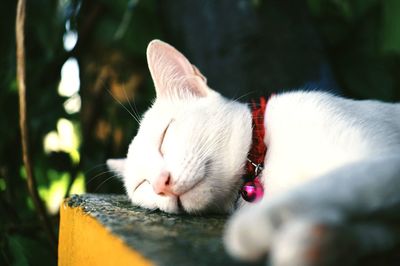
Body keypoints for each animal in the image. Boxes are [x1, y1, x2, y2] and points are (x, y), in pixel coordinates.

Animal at [107, 40, 400, 266]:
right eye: (142, 185)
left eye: (165, 137)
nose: (160, 184)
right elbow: (375, 233)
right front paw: (316, 242)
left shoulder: (383, 163)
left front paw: (257, 231)